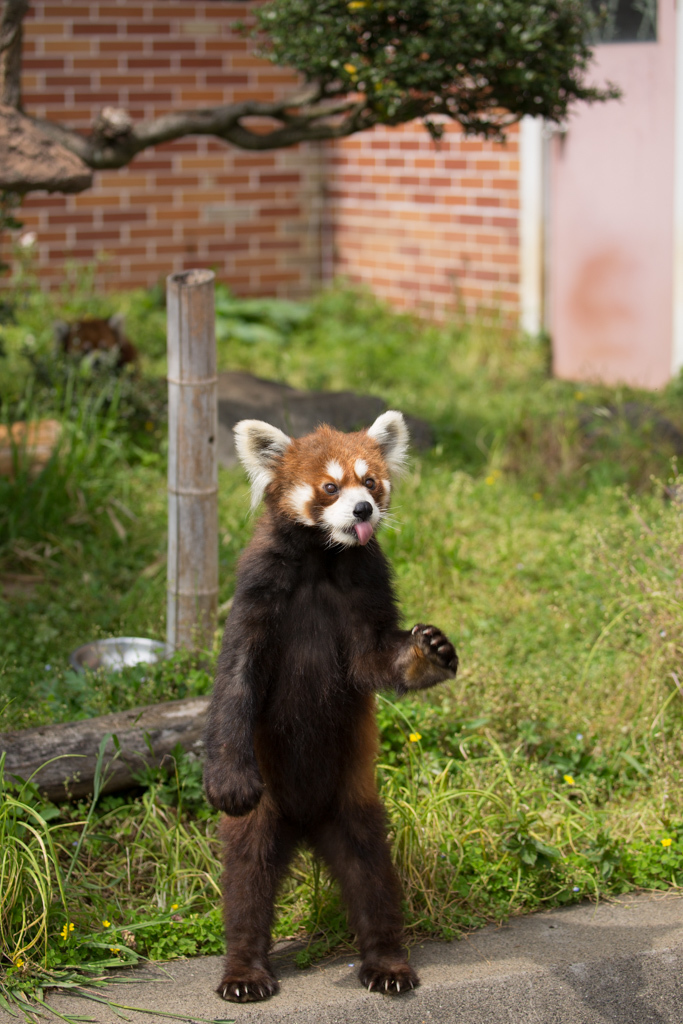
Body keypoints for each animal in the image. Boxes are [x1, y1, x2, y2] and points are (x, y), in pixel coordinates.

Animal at [204, 407, 458, 999]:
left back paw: (387, 963)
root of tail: (306, 824)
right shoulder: (257, 596)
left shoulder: (365, 590)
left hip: (354, 805)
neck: (323, 560)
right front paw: (228, 780)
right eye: (330, 487)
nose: (363, 509)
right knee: (246, 883)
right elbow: (235, 687)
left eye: (370, 482)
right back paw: (244, 971)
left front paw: (429, 651)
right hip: (265, 814)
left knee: (373, 877)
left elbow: (376, 660)